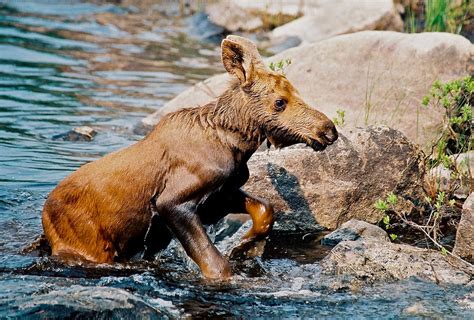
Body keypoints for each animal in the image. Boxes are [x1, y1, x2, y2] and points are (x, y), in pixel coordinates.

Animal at [41, 35, 336, 280]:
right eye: (280, 102)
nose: (328, 130)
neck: (237, 144)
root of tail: (44, 217)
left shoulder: (221, 194)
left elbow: (265, 210)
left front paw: (244, 248)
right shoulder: (172, 202)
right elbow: (215, 263)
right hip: (88, 244)